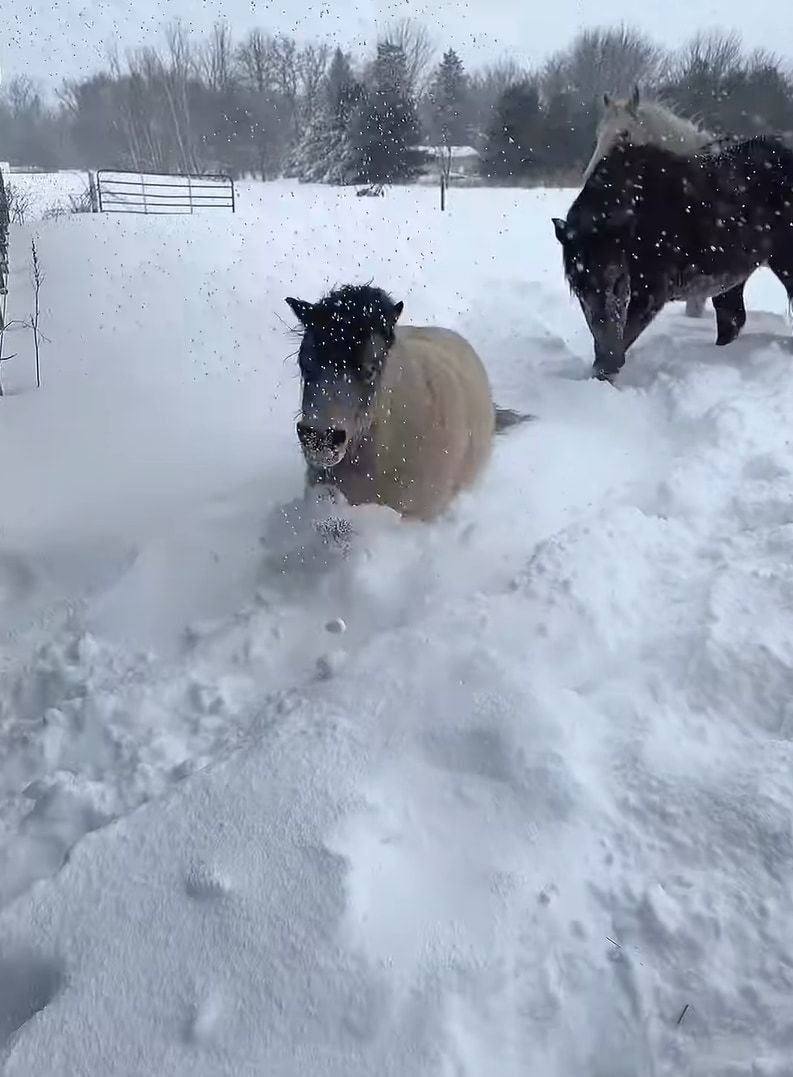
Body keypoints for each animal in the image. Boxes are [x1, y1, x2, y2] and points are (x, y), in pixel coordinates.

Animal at [551, 134, 793, 381]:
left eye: (618, 281)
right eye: (578, 288)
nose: (610, 361)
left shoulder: (652, 291)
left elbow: (627, 331)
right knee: (732, 320)